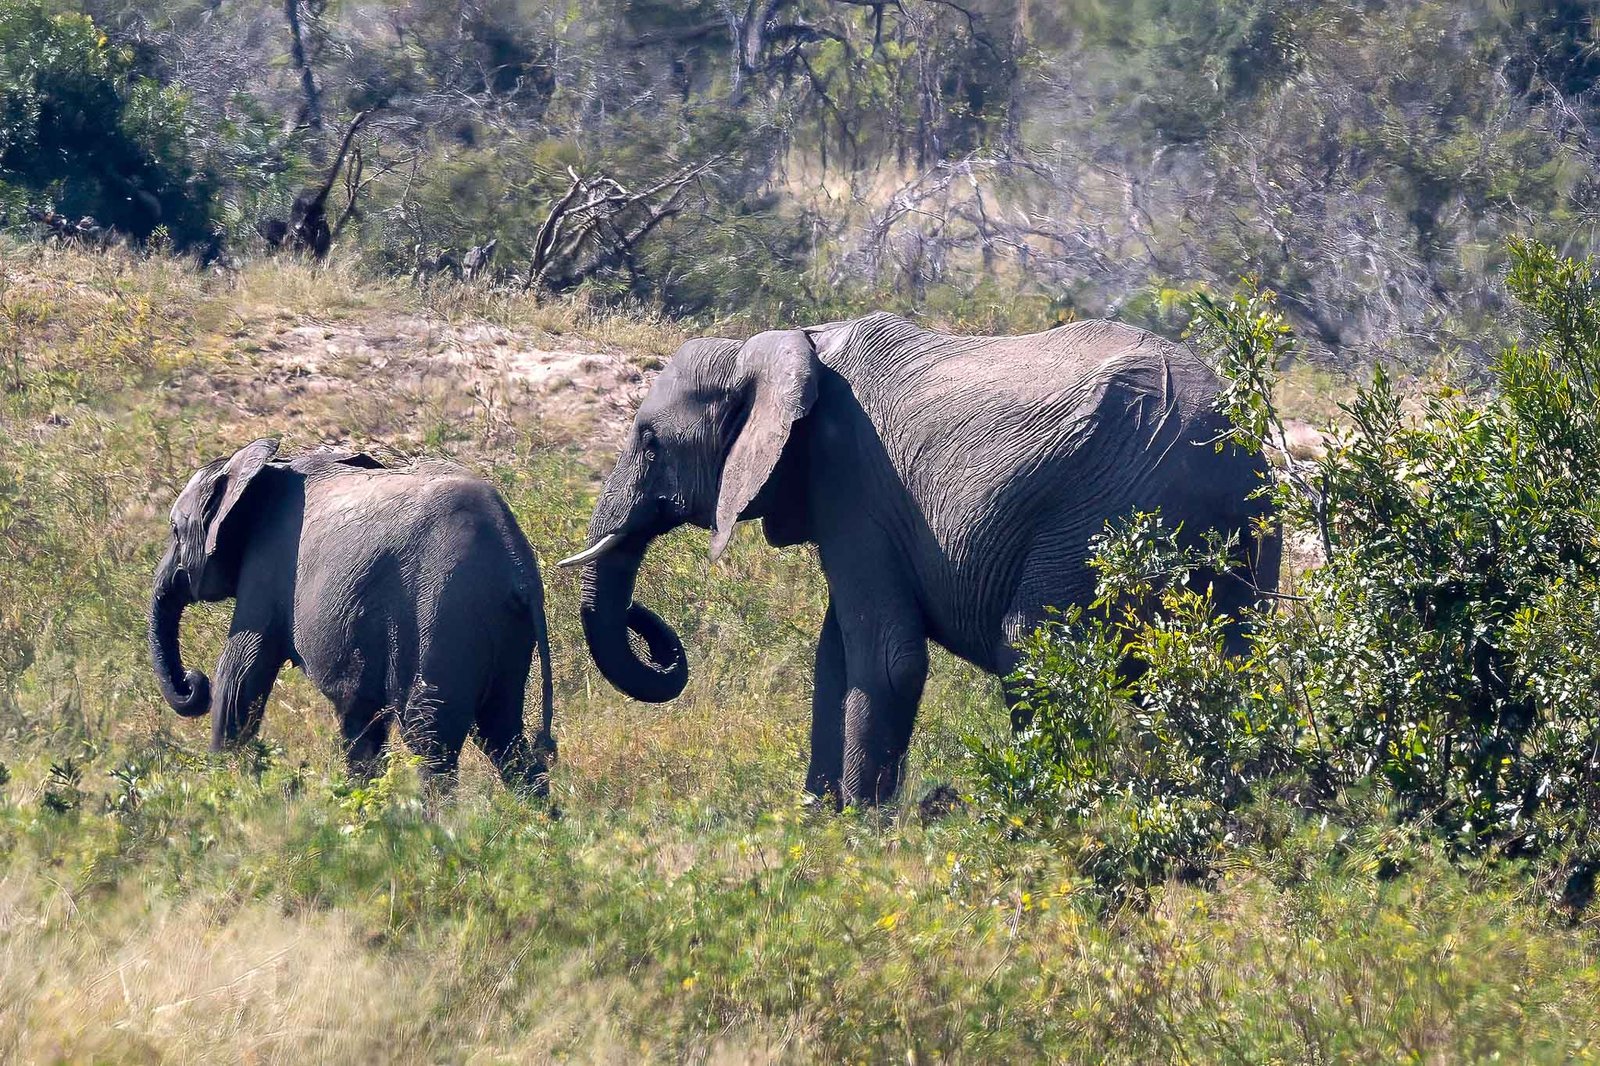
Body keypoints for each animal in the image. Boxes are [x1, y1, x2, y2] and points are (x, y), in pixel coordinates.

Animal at [150, 439, 556, 793]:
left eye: (174, 529)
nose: (193, 682)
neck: (266, 468)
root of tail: (517, 565)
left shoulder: (266, 565)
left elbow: (239, 673)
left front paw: (225, 785)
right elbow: (359, 712)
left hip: (446, 610)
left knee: (430, 737)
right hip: (503, 627)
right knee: (502, 732)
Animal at [560, 312, 1280, 807]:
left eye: (649, 441)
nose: (651, 626)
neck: (779, 345)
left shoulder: (854, 481)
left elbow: (887, 657)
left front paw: (864, 826)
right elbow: (835, 657)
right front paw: (817, 816)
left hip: (1106, 510)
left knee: (1032, 650)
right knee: (1235, 669)